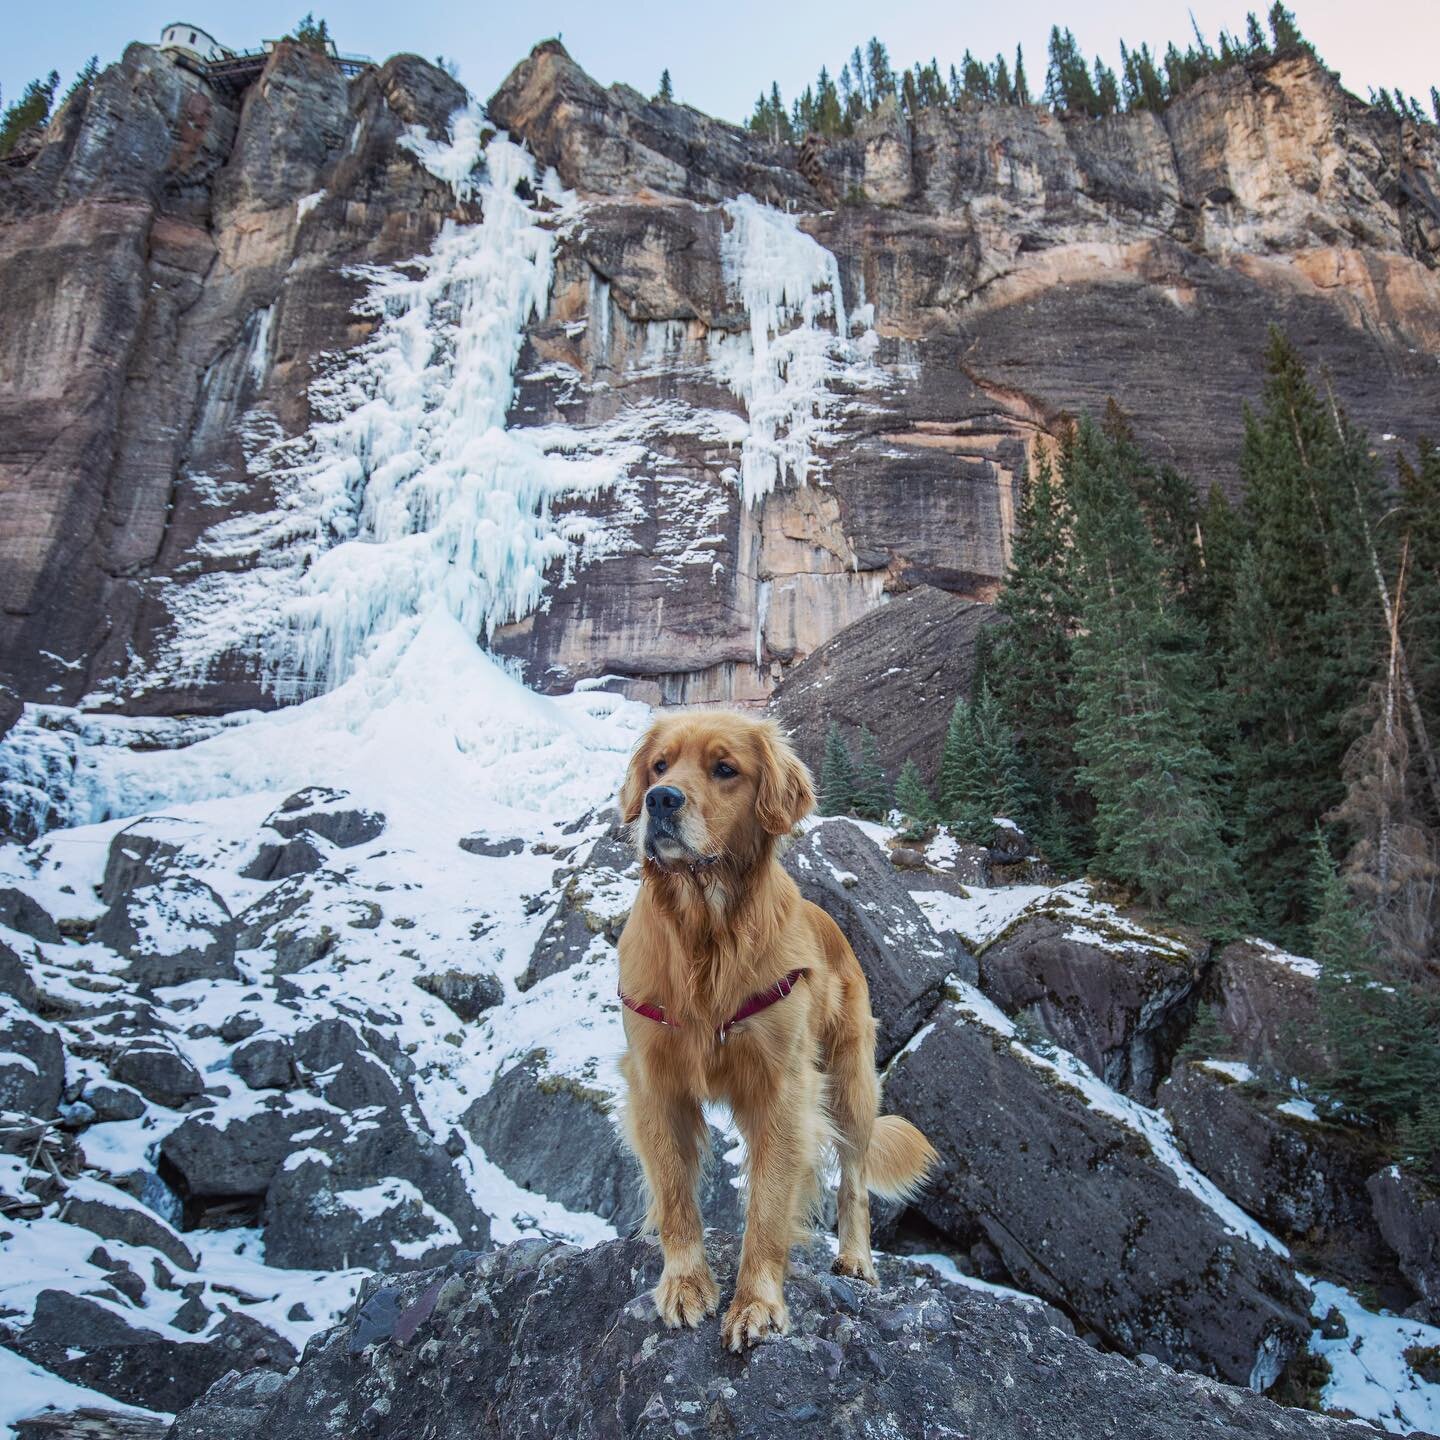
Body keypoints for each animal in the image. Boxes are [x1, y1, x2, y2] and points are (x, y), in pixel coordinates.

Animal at [613, 708, 938, 1347]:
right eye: (659, 766)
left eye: (724, 769)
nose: (661, 800)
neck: (706, 932)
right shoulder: (655, 1081)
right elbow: (675, 1191)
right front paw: (685, 1283)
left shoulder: (782, 1088)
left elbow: (767, 1206)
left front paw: (756, 1302)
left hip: (850, 1083)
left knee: (854, 1180)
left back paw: (856, 1259)